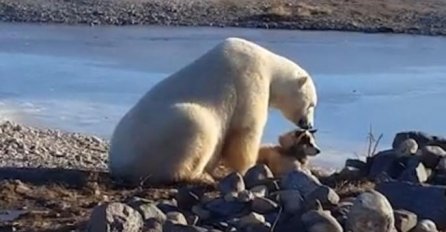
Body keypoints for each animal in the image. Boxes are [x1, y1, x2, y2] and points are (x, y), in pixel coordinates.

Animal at [107, 37, 318, 185]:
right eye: (312, 104)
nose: (309, 124)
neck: (269, 64)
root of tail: (118, 163)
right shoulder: (249, 80)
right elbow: (245, 130)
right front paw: (249, 167)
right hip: (160, 137)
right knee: (197, 125)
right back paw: (198, 176)